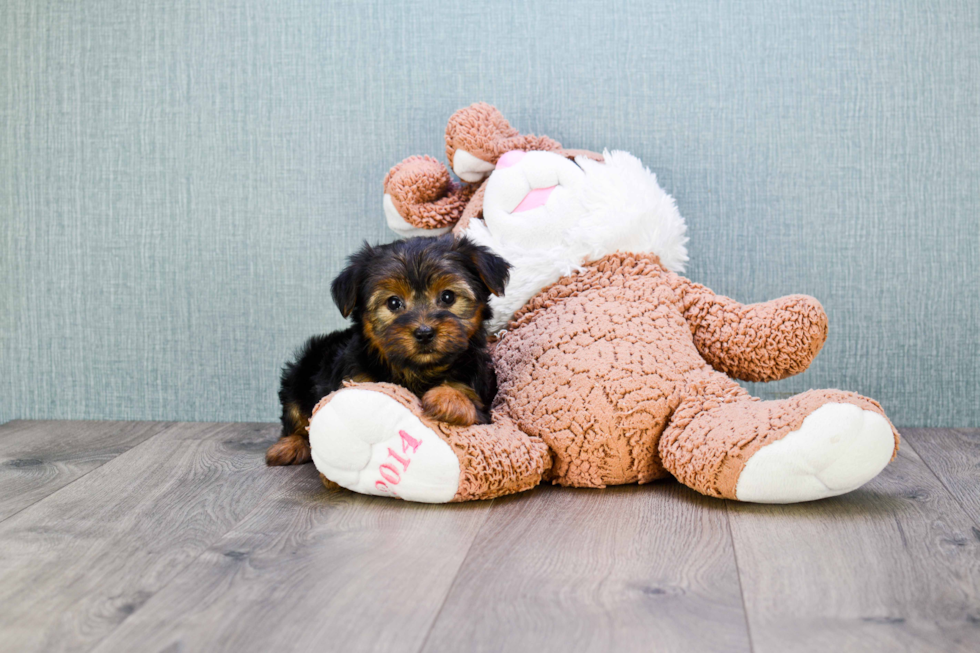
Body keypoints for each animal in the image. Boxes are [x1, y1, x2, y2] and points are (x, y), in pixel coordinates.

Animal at [268, 233, 512, 464]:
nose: (424, 332)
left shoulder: (481, 400)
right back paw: (290, 445)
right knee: (295, 413)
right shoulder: (356, 378)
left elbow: (469, 402)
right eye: (393, 303)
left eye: (448, 296)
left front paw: (448, 398)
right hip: (299, 373)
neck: (416, 370)